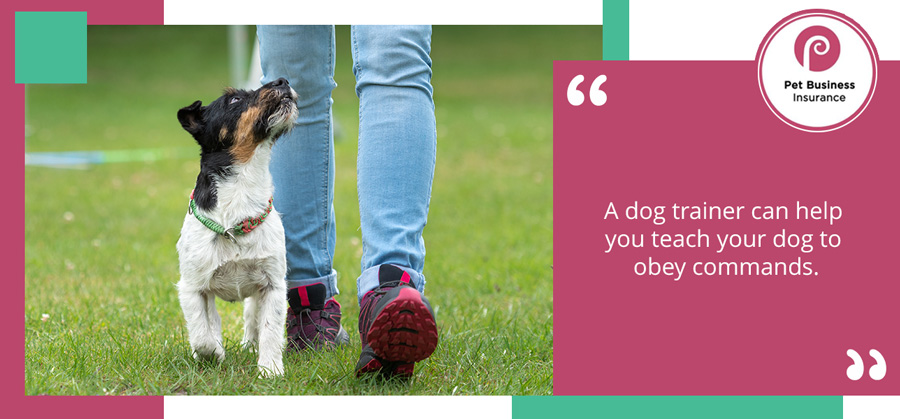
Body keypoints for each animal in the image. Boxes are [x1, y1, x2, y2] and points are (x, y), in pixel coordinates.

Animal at [176, 78, 298, 378]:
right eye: (233, 100)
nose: (283, 80)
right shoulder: (192, 288)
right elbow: (202, 334)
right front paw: (214, 353)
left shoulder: (273, 285)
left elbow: (270, 330)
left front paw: (270, 369)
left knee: (252, 321)